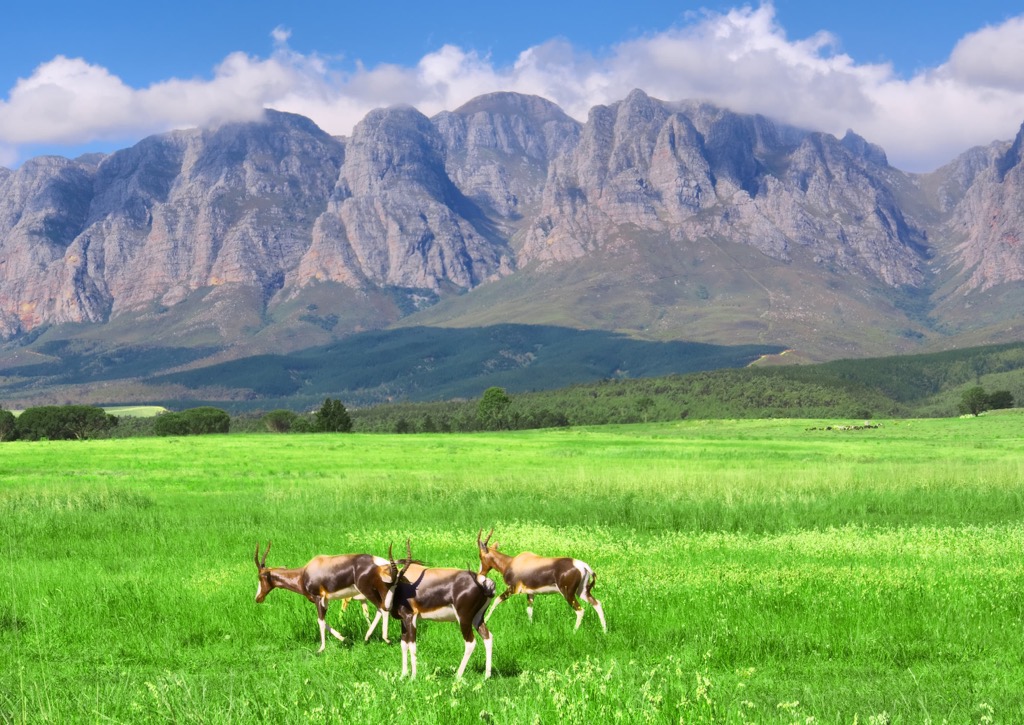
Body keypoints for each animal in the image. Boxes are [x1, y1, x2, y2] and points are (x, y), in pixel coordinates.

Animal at [251, 536, 403, 651]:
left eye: (261, 577)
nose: (258, 598)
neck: (304, 572)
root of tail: (381, 563)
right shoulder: (325, 600)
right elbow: (324, 621)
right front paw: (345, 639)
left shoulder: (318, 598)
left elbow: (320, 621)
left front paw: (321, 649)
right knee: (381, 609)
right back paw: (367, 638)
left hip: (368, 591)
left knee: (382, 608)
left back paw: (385, 639)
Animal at [385, 544, 493, 679]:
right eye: (389, 583)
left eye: (396, 583)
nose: (387, 605)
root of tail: (482, 581)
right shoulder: (403, 620)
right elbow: (404, 644)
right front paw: (403, 675)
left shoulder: (411, 617)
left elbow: (412, 645)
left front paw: (413, 677)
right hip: (477, 618)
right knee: (488, 637)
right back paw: (486, 676)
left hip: (464, 619)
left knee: (470, 643)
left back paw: (457, 676)